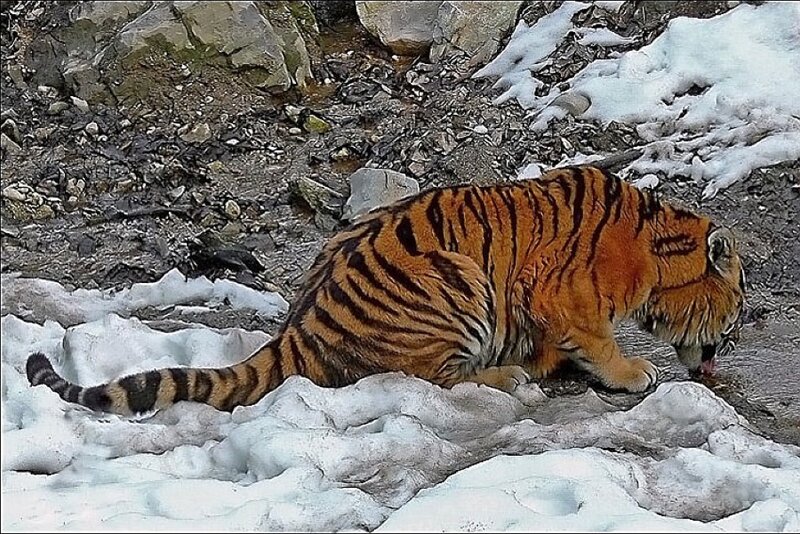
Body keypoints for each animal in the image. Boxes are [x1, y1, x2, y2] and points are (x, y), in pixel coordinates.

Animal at [26, 165, 746, 415]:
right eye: (737, 307)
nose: (730, 344)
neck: (655, 250)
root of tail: (300, 325)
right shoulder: (560, 296)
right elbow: (595, 339)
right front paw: (632, 372)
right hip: (459, 283)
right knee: (434, 378)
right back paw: (509, 377)